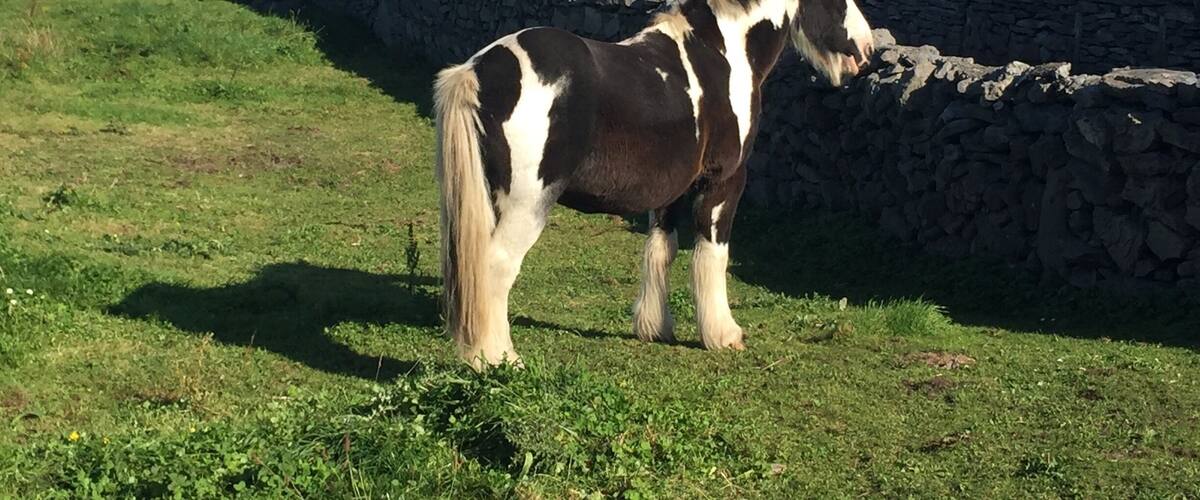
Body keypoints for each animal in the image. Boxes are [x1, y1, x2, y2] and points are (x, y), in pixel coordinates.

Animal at [434, 0, 874, 369]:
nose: (866, 47)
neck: (722, 55)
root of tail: (479, 72)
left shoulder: (670, 191)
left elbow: (661, 250)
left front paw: (654, 327)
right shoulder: (724, 182)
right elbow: (712, 255)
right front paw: (723, 335)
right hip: (526, 205)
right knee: (495, 266)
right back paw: (496, 358)